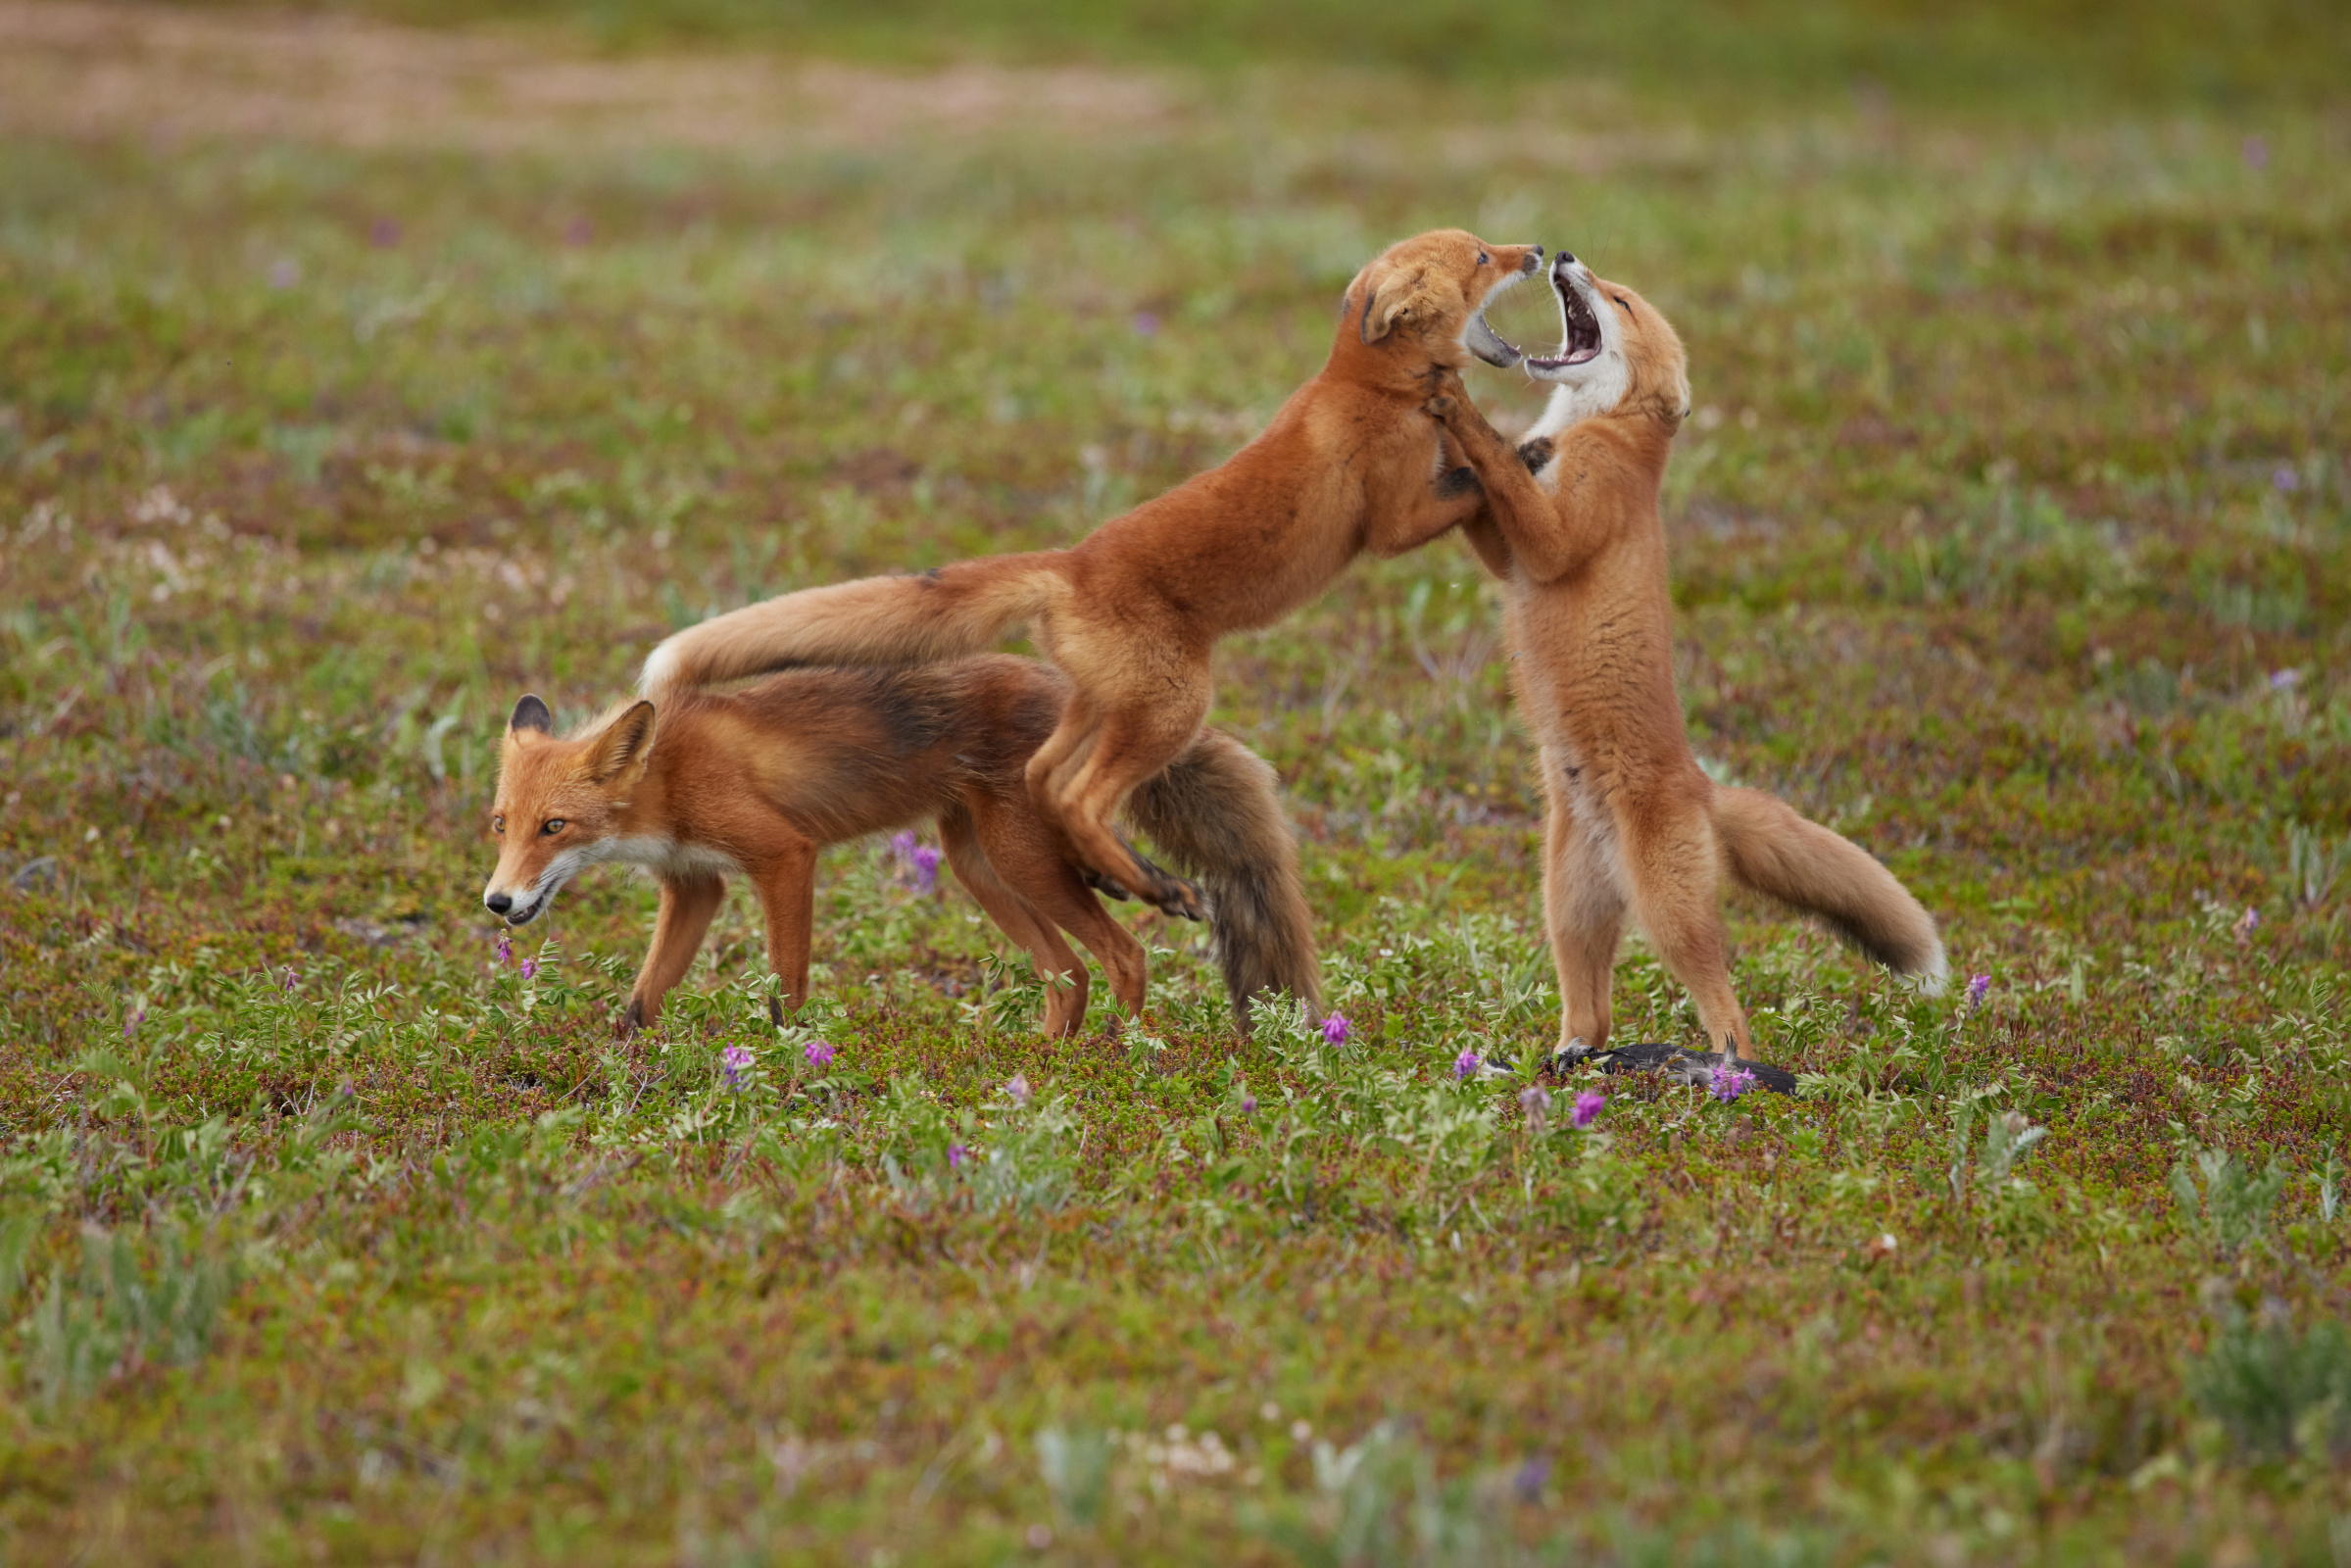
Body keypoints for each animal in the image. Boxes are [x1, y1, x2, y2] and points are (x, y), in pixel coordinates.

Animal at [476, 653, 1326, 1034]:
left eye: (555, 827)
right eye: (501, 824)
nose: (497, 900)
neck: (670, 778)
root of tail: (1058, 682)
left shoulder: (783, 856)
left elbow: (787, 989)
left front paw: (785, 1064)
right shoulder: (696, 885)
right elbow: (640, 1000)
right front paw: (620, 1067)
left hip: (1018, 859)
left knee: (1124, 955)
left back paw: (1121, 1053)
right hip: (977, 866)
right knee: (1068, 973)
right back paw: (1049, 1068)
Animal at [639, 227, 1542, 926]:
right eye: (1481, 255)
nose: (1539, 251)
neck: (1365, 385)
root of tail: (1069, 564)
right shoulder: (1390, 525)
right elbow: (1460, 488)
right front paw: (1526, 452)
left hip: (1104, 703)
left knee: (1044, 779)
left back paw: (1121, 877)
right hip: (1172, 704)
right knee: (1077, 796)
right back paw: (1153, 884)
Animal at [1410, 255, 1946, 1067]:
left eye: (1620, 299)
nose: (1563, 256)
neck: (1594, 430)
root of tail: (1701, 785)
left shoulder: (1559, 535)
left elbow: (1510, 484)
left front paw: (1464, 412)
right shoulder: (1509, 558)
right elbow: (1494, 497)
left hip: (1667, 913)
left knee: (1728, 1012)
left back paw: (1728, 1074)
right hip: (1566, 905)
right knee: (1593, 1015)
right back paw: (1572, 1062)